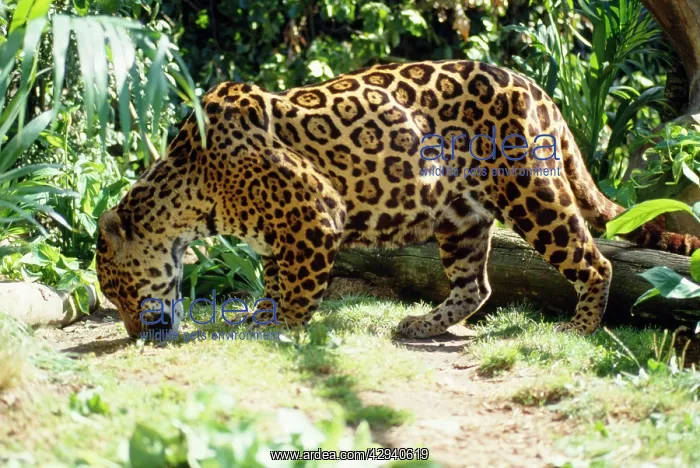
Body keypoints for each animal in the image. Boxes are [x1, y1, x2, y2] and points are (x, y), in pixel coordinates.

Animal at [96, 59, 700, 340]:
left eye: (120, 289)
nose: (134, 335)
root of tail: (535, 86)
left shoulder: (316, 214)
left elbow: (296, 291)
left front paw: (283, 329)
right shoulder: (278, 235)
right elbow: (273, 281)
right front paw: (261, 318)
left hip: (531, 189)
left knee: (594, 261)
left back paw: (580, 329)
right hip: (460, 217)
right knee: (476, 286)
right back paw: (422, 325)